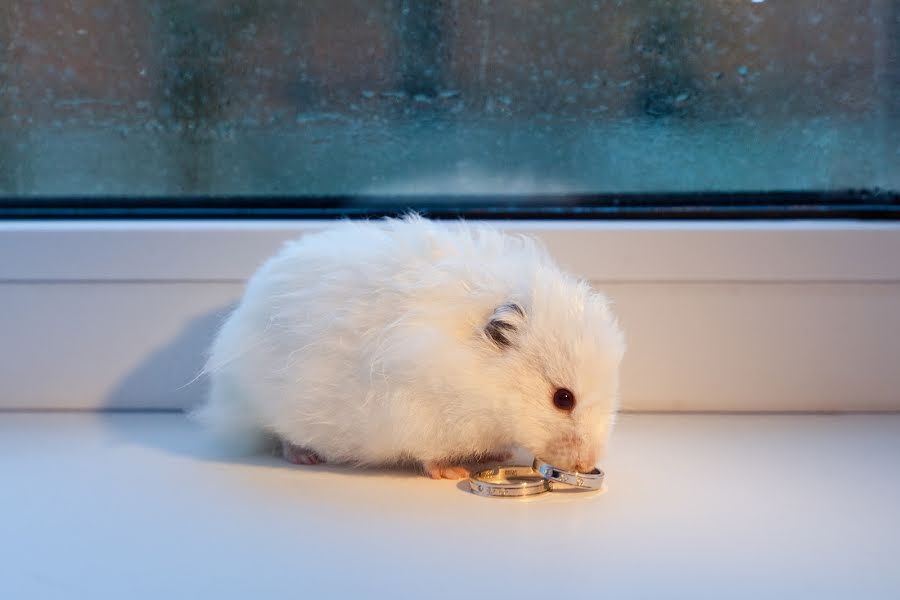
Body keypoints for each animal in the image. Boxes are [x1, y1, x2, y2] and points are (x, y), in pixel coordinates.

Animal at [193, 214, 624, 478]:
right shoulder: (419, 415)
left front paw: (498, 454)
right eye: (563, 398)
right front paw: (452, 472)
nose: (587, 464)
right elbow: (430, 454)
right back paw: (306, 456)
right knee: (280, 434)